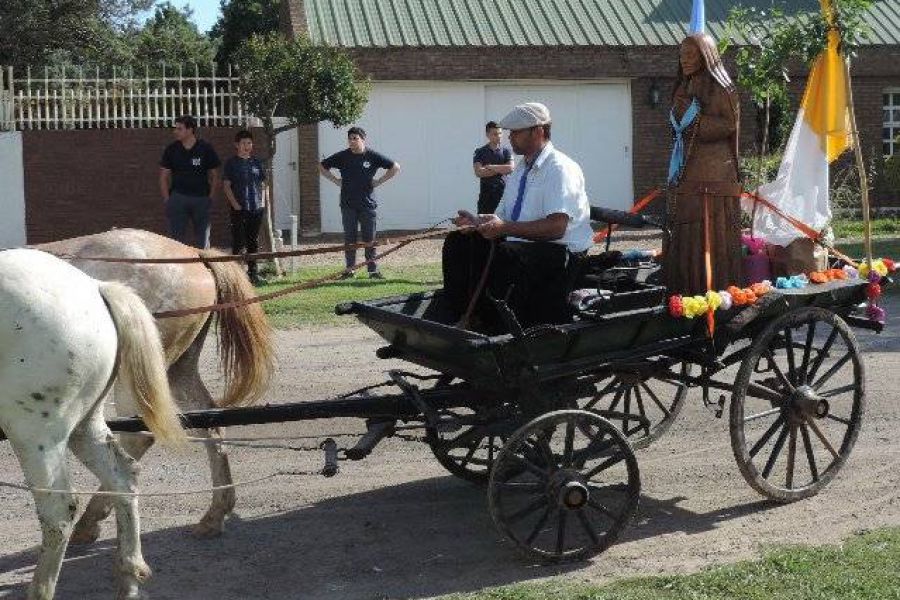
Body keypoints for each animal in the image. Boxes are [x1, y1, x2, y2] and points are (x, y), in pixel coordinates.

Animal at [0, 248, 185, 600]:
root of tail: (94, 288)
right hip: (85, 426)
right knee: (123, 478)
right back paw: (128, 577)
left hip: (35, 435)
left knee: (59, 513)